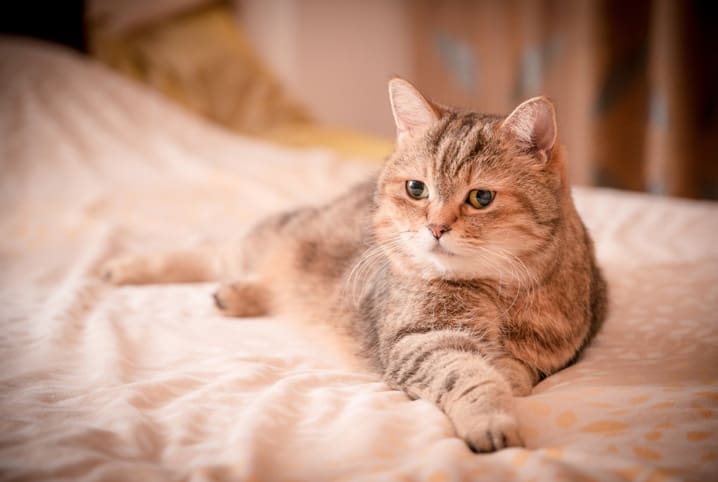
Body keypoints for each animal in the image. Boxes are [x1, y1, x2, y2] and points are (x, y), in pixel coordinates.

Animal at [104, 78, 608, 452]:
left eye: (481, 197)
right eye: (417, 189)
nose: (436, 228)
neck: (495, 290)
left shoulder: (556, 352)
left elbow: (516, 372)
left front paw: (506, 375)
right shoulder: (421, 340)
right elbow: (471, 377)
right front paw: (491, 418)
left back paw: (238, 295)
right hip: (276, 237)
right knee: (217, 251)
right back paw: (127, 268)